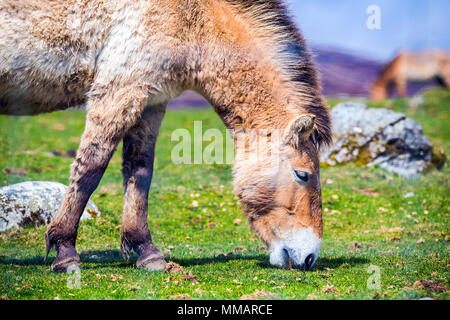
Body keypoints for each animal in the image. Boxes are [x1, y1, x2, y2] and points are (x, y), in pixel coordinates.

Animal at [0, 0, 330, 272]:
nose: (309, 257)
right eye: (302, 174)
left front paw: (147, 252)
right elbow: (90, 169)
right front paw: (65, 252)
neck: (192, 15)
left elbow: (140, 171)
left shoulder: (151, 101)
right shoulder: (118, 91)